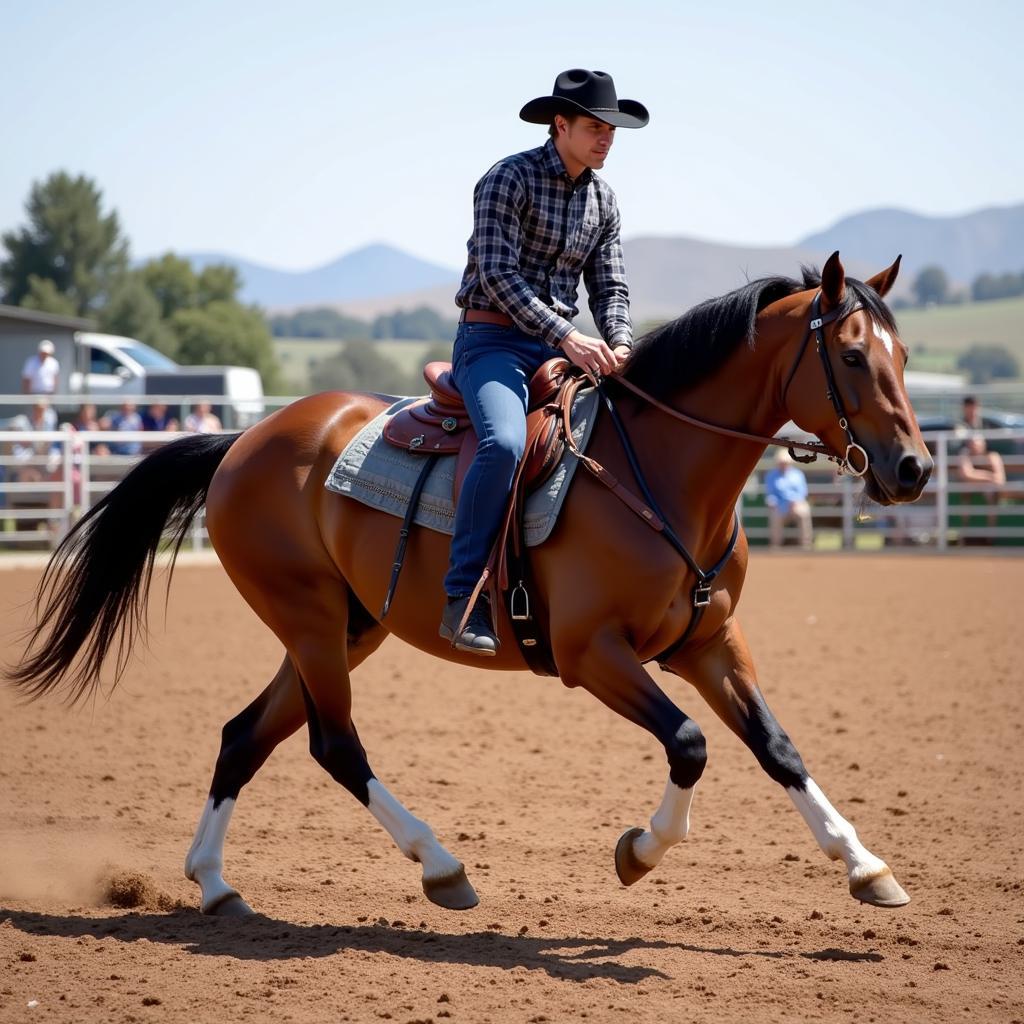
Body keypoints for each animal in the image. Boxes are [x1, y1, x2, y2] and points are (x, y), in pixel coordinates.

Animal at [9, 251, 937, 917]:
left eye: (903, 353)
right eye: (853, 355)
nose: (915, 469)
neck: (659, 474)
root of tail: (243, 440)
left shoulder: (710, 643)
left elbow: (776, 747)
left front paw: (866, 867)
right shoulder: (591, 652)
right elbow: (689, 744)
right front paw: (638, 853)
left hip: (346, 626)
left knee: (246, 735)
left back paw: (214, 882)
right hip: (309, 621)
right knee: (334, 745)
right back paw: (441, 866)